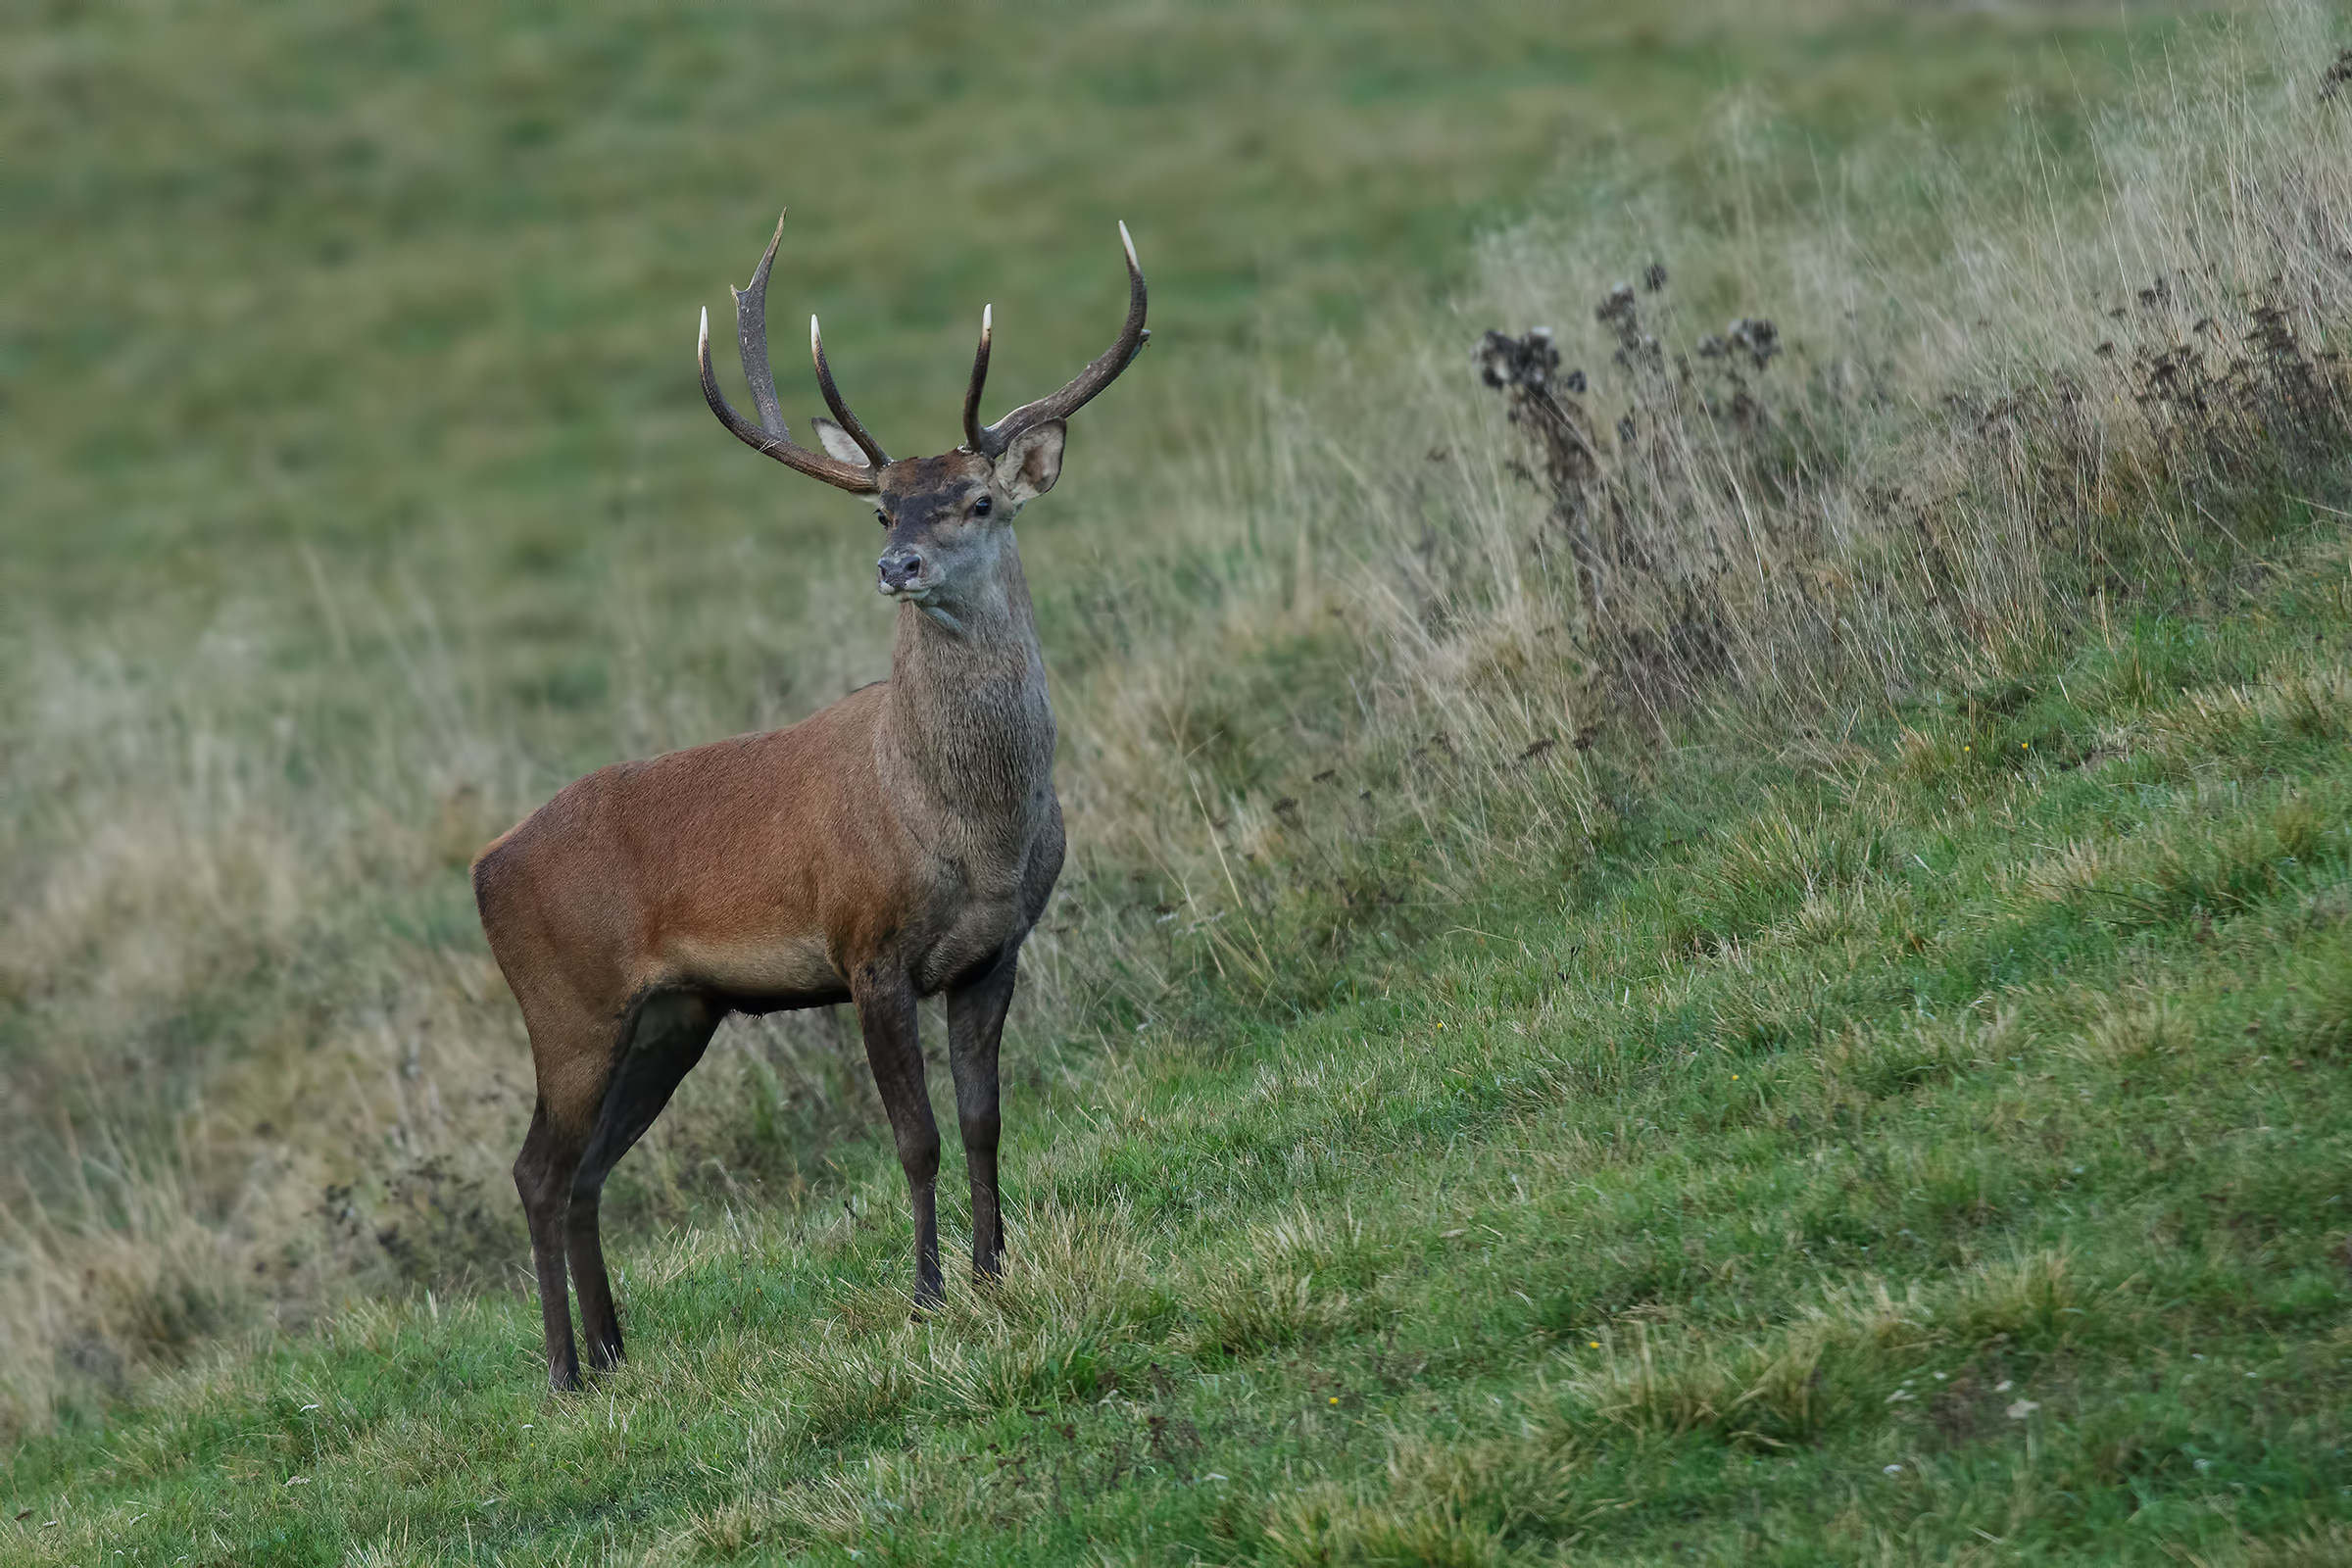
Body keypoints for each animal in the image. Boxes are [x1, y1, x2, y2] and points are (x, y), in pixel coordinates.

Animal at [471, 210, 1148, 1391]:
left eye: (978, 499)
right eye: (881, 508)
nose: (898, 564)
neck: (968, 830)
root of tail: (480, 867)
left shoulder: (997, 948)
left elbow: (985, 1121)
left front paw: (994, 1271)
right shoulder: (868, 949)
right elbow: (915, 1136)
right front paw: (926, 1294)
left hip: (673, 1015)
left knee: (588, 1170)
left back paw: (614, 1353)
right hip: (567, 1005)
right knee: (535, 1169)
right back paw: (562, 1369)